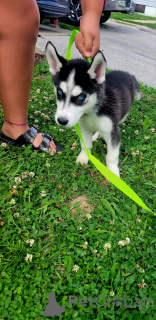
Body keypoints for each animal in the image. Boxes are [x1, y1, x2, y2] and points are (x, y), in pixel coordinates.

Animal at [45, 41, 140, 176]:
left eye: (81, 97)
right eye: (59, 92)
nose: (62, 121)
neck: (91, 112)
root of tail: (128, 74)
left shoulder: (113, 132)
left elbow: (111, 156)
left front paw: (112, 172)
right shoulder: (84, 128)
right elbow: (85, 145)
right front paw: (84, 157)